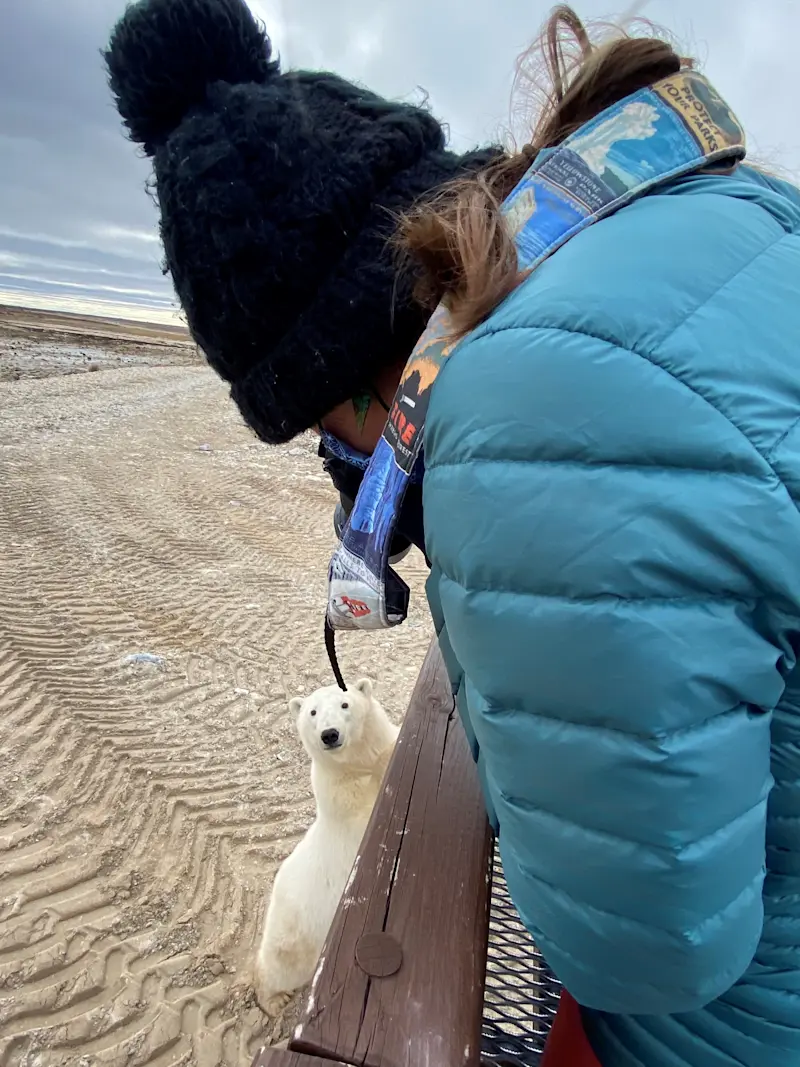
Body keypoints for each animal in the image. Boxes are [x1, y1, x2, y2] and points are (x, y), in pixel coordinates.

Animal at [254, 677, 399, 1016]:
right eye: (312, 712)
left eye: (345, 704)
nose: (329, 734)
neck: (356, 767)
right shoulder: (347, 800)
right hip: (299, 929)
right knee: (282, 966)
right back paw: (273, 999)